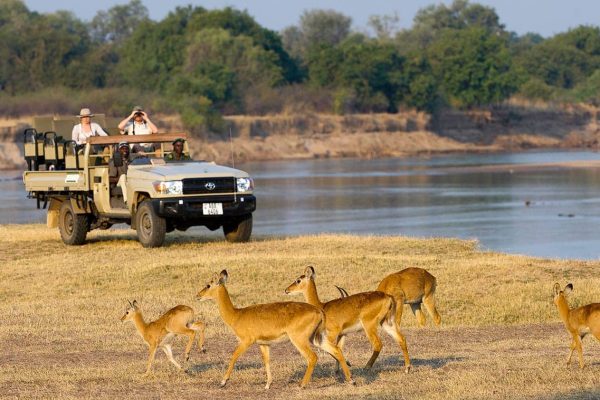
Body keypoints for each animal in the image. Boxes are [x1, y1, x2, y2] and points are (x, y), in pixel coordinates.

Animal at [195, 270, 354, 390]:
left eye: (208, 285)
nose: (197, 295)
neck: (236, 315)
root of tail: (319, 311)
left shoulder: (246, 341)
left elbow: (234, 356)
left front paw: (223, 382)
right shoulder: (263, 343)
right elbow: (266, 360)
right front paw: (267, 385)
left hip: (299, 339)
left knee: (313, 357)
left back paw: (302, 385)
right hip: (316, 338)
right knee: (336, 350)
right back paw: (351, 380)